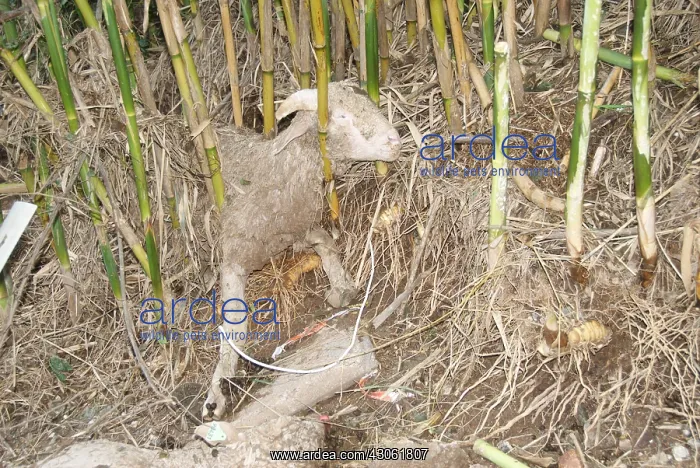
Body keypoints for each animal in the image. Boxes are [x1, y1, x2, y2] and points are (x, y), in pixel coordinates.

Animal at [204, 81, 402, 420]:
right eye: (342, 116)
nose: (395, 141)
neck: (271, 168)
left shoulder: (297, 227)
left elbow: (325, 241)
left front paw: (341, 286)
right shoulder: (234, 254)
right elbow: (234, 323)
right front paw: (220, 385)